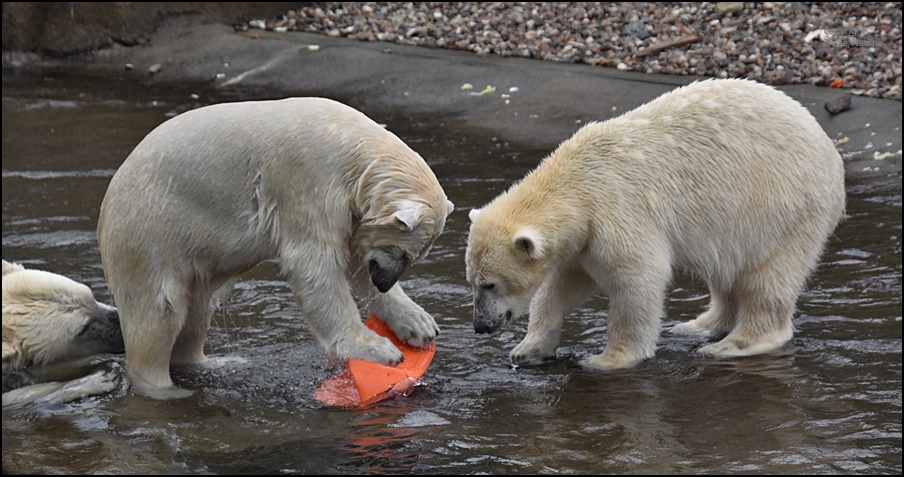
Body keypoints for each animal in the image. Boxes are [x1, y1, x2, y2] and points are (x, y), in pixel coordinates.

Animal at [97, 97, 452, 398]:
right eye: (404, 253)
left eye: (415, 258)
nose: (385, 282)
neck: (350, 144)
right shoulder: (309, 179)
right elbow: (315, 264)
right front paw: (379, 349)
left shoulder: (347, 207)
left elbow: (354, 259)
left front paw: (419, 324)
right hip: (149, 232)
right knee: (160, 312)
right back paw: (165, 388)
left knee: (196, 312)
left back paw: (216, 363)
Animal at [466, 77, 848, 368]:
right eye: (472, 281)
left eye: (491, 284)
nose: (481, 326)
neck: (578, 179)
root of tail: (830, 151)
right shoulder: (583, 238)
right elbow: (564, 284)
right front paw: (527, 349)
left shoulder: (617, 210)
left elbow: (637, 279)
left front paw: (607, 360)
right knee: (726, 270)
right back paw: (697, 326)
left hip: (785, 207)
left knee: (767, 278)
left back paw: (729, 345)